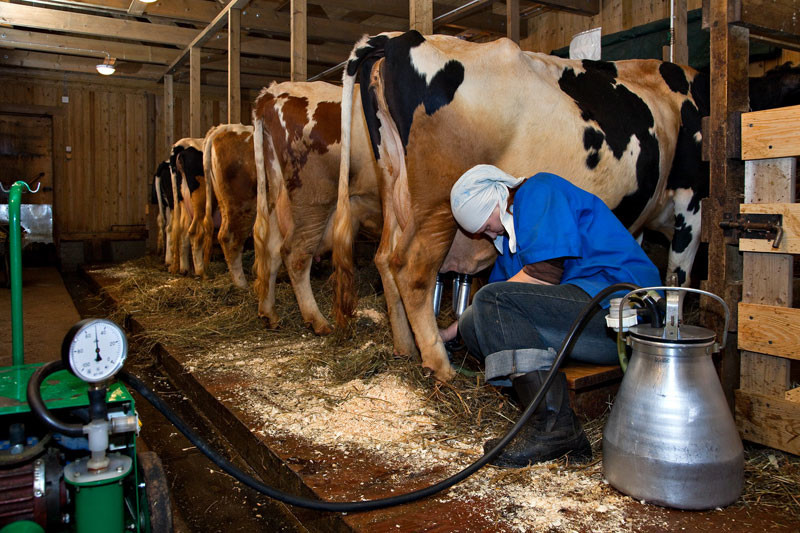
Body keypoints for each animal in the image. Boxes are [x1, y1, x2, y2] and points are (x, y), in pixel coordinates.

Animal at [255, 80, 382, 332]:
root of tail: (273, 91)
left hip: (282, 198)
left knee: (272, 249)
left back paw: (269, 313)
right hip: (313, 201)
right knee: (295, 254)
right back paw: (317, 320)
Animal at [334, 32, 708, 378]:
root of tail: (400, 38)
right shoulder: (690, 201)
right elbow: (678, 277)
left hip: (395, 188)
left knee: (385, 258)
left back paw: (406, 347)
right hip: (437, 205)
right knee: (411, 271)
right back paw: (441, 365)